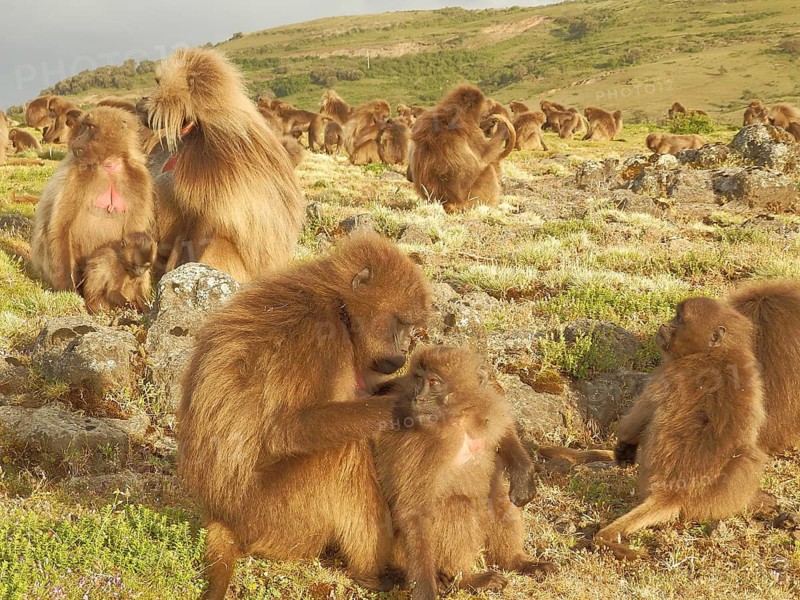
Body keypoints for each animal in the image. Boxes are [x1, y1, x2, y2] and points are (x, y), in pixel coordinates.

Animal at [29, 107, 155, 291]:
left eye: (90, 127)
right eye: (83, 126)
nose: (77, 139)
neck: (109, 164)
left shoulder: (140, 179)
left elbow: (134, 236)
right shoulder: (76, 173)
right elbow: (60, 226)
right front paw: (68, 288)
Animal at [177, 232, 432, 600]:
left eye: (410, 327)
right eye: (399, 324)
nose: (402, 353)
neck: (341, 307)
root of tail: (222, 515)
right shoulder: (317, 335)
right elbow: (288, 430)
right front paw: (407, 405)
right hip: (273, 517)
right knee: (342, 451)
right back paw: (373, 574)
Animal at [372, 346, 556, 599]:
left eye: (433, 382)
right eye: (418, 379)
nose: (417, 398)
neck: (458, 419)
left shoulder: (485, 403)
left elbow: (504, 430)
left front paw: (523, 474)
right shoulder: (421, 446)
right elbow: (414, 512)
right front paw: (427, 588)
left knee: (498, 496)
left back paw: (516, 561)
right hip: (401, 551)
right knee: (456, 506)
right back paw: (466, 579)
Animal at [410, 84, 516, 213]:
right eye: (482, 113)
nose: (483, 121)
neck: (453, 112)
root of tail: (448, 203)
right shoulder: (471, 129)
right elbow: (483, 156)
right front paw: (502, 128)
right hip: (469, 198)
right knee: (488, 169)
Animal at [597, 297, 767, 560]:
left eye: (679, 319)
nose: (664, 325)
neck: (714, 353)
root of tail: (674, 493)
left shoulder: (670, 373)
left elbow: (639, 417)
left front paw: (624, 447)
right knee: (748, 454)